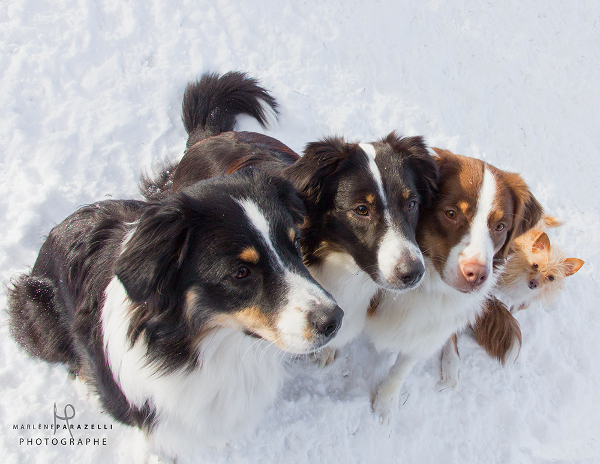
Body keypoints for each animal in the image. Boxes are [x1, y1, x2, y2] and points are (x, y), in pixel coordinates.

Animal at [366, 147, 544, 422]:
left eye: (500, 226)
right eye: (451, 214)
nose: (476, 275)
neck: (426, 286)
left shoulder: (426, 332)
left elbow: (400, 371)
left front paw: (385, 404)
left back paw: (451, 367)